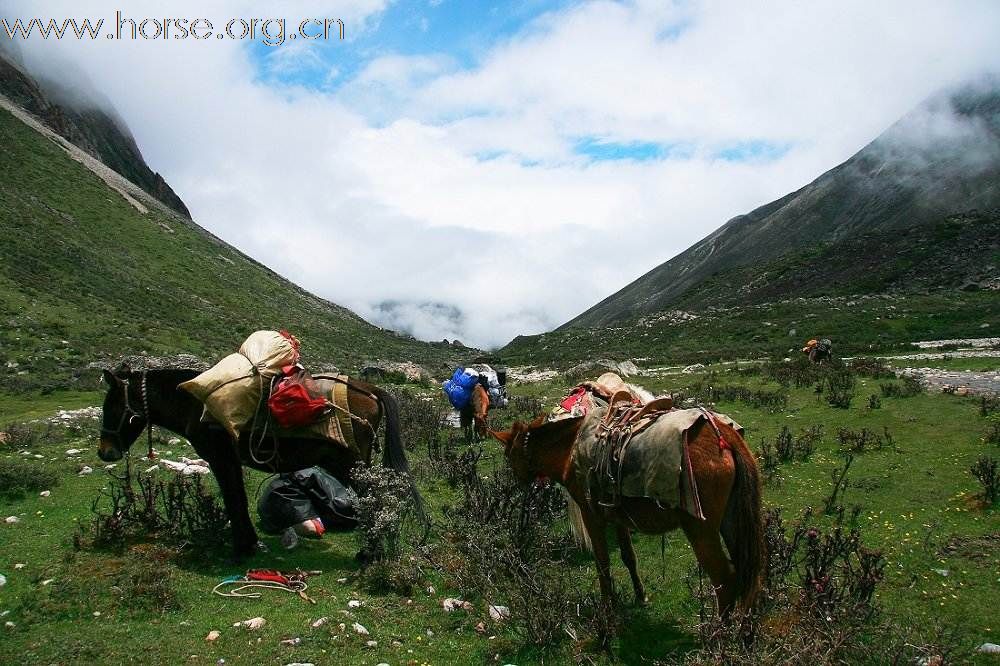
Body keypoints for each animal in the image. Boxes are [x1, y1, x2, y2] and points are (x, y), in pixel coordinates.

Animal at [492, 412, 764, 616]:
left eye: (507, 455)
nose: (517, 483)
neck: (569, 451)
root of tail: (725, 435)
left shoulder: (592, 516)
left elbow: (602, 563)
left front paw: (608, 609)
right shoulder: (617, 518)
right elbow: (628, 556)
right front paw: (640, 595)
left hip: (701, 531)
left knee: (725, 580)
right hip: (732, 524)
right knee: (749, 574)